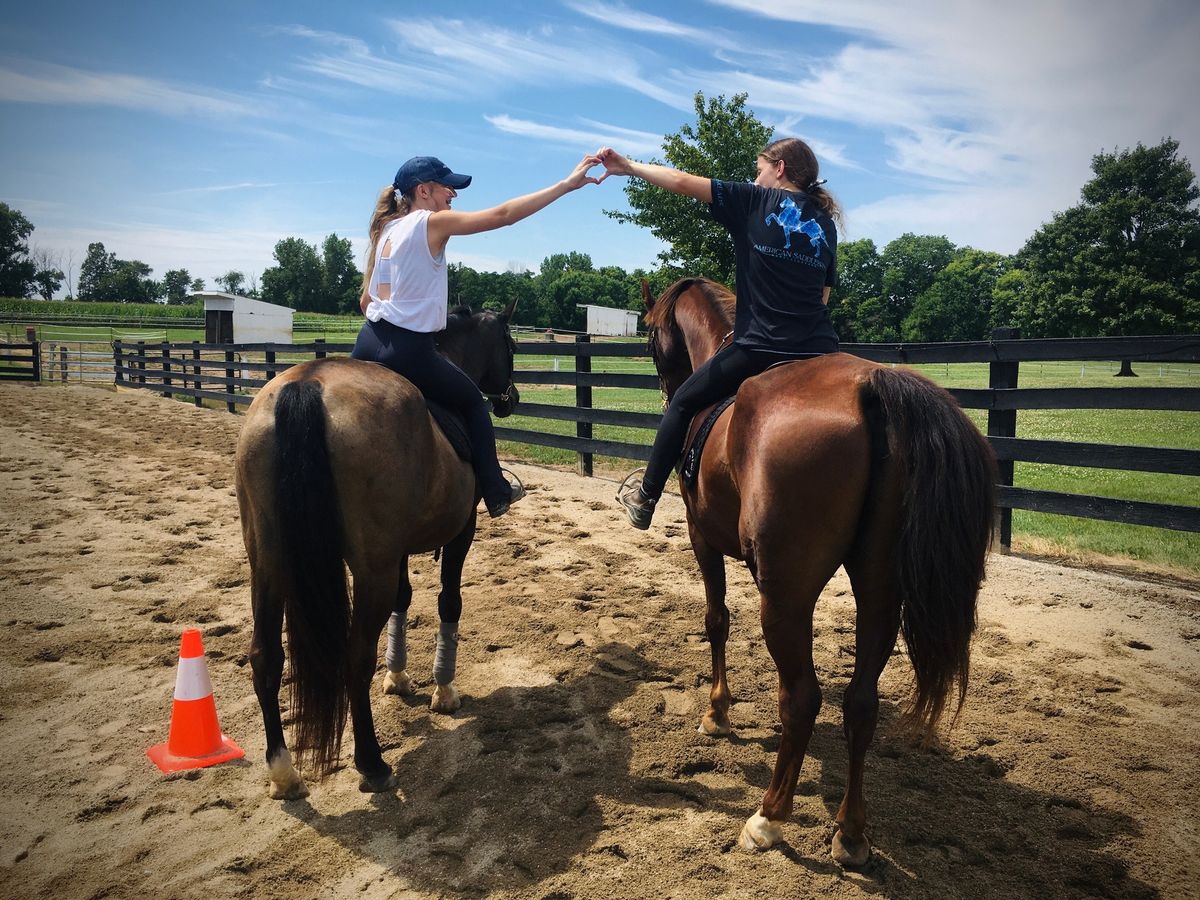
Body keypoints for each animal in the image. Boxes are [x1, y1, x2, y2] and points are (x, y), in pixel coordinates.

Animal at [231, 304, 518, 801]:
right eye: (511, 346)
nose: (510, 398)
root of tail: (307, 383)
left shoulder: (396, 550)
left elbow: (405, 599)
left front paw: (398, 677)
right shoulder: (461, 531)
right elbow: (449, 602)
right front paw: (444, 691)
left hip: (267, 565)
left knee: (265, 657)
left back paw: (283, 771)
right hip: (369, 571)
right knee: (354, 657)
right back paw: (372, 762)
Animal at [643, 280, 998, 868]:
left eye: (649, 337)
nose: (669, 394)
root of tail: (872, 388)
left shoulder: (700, 536)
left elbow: (717, 620)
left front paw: (718, 712)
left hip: (787, 595)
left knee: (803, 698)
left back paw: (769, 818)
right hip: (879, 589)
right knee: (861, 702)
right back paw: (850, 833)